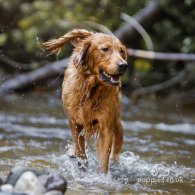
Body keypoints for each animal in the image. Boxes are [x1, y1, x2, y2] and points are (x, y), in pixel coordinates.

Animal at [42, 29, 128, 174]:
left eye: (122, 51)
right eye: (105, 49)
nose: (124, 65)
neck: (90, 89)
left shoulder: (106, 127)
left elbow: (103, 160)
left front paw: (101, 176)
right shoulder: (74, 121)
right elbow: (79, 147)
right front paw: (82, 164)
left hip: (118, 124)